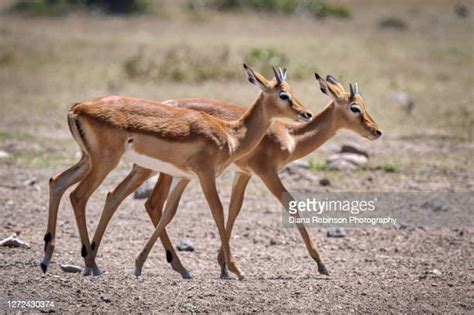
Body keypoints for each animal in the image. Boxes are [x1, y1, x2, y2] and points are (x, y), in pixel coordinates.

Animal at [41, 65, 314, 278]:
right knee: (79, 196)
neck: (230, 133)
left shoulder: (185, 177)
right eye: (283, 95)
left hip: (89, 160)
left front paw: (148, 265)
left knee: (58, 182)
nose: (306, 113)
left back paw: (49, 259)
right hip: (104, 163)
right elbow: (218, 211)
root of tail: (78, 108)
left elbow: (168, 213)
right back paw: (90, 263)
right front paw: (232, 270)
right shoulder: (205, 175)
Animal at [85, 73, 382, 278]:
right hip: (158, 170)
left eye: (364, 104)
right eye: (355, 108)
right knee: (149, 202)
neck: (289, 135)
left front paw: (224, 265)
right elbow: (290, 205)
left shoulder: (243, 174)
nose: (376, 131)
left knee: (123, 197)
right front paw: (321, 264)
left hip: (151, 169)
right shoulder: (266, 173)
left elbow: (233, 210)